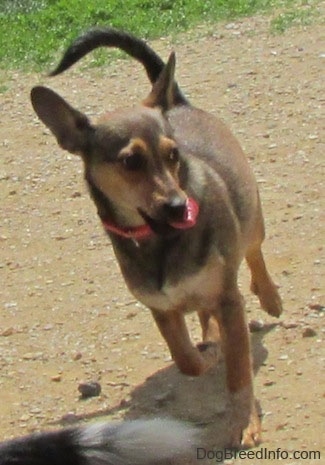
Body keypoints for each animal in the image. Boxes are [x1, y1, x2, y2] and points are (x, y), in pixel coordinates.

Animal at [30, 27, 280, 448]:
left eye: (174, 155)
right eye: (130, 161)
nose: (180, 207)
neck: (159, 242)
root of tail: (175, 101)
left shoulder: (229, 299)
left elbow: (239, 373)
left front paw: (244, 421)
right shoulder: (160, 308)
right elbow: (186, 359)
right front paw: (207, 354)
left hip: (250, 220)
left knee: (254, 252)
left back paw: (270, 297)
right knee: (205, 313)